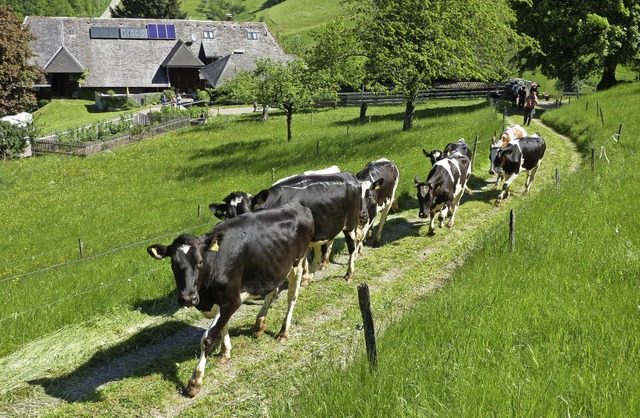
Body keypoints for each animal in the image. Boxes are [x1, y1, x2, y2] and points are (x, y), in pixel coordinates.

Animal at [148, 202, 312, 398]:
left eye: (200, 262)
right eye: (173, 264)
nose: (187, 297)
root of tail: (297, 205)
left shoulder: (232, 300)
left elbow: (207, 338)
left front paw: (195, 381)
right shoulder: (219, 302)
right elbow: (222, 325)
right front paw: (225, 352)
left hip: (297, 263)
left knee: (291, 297)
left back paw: (283, 332)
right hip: (274, 268)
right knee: (272, 292)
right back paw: (260, 323)